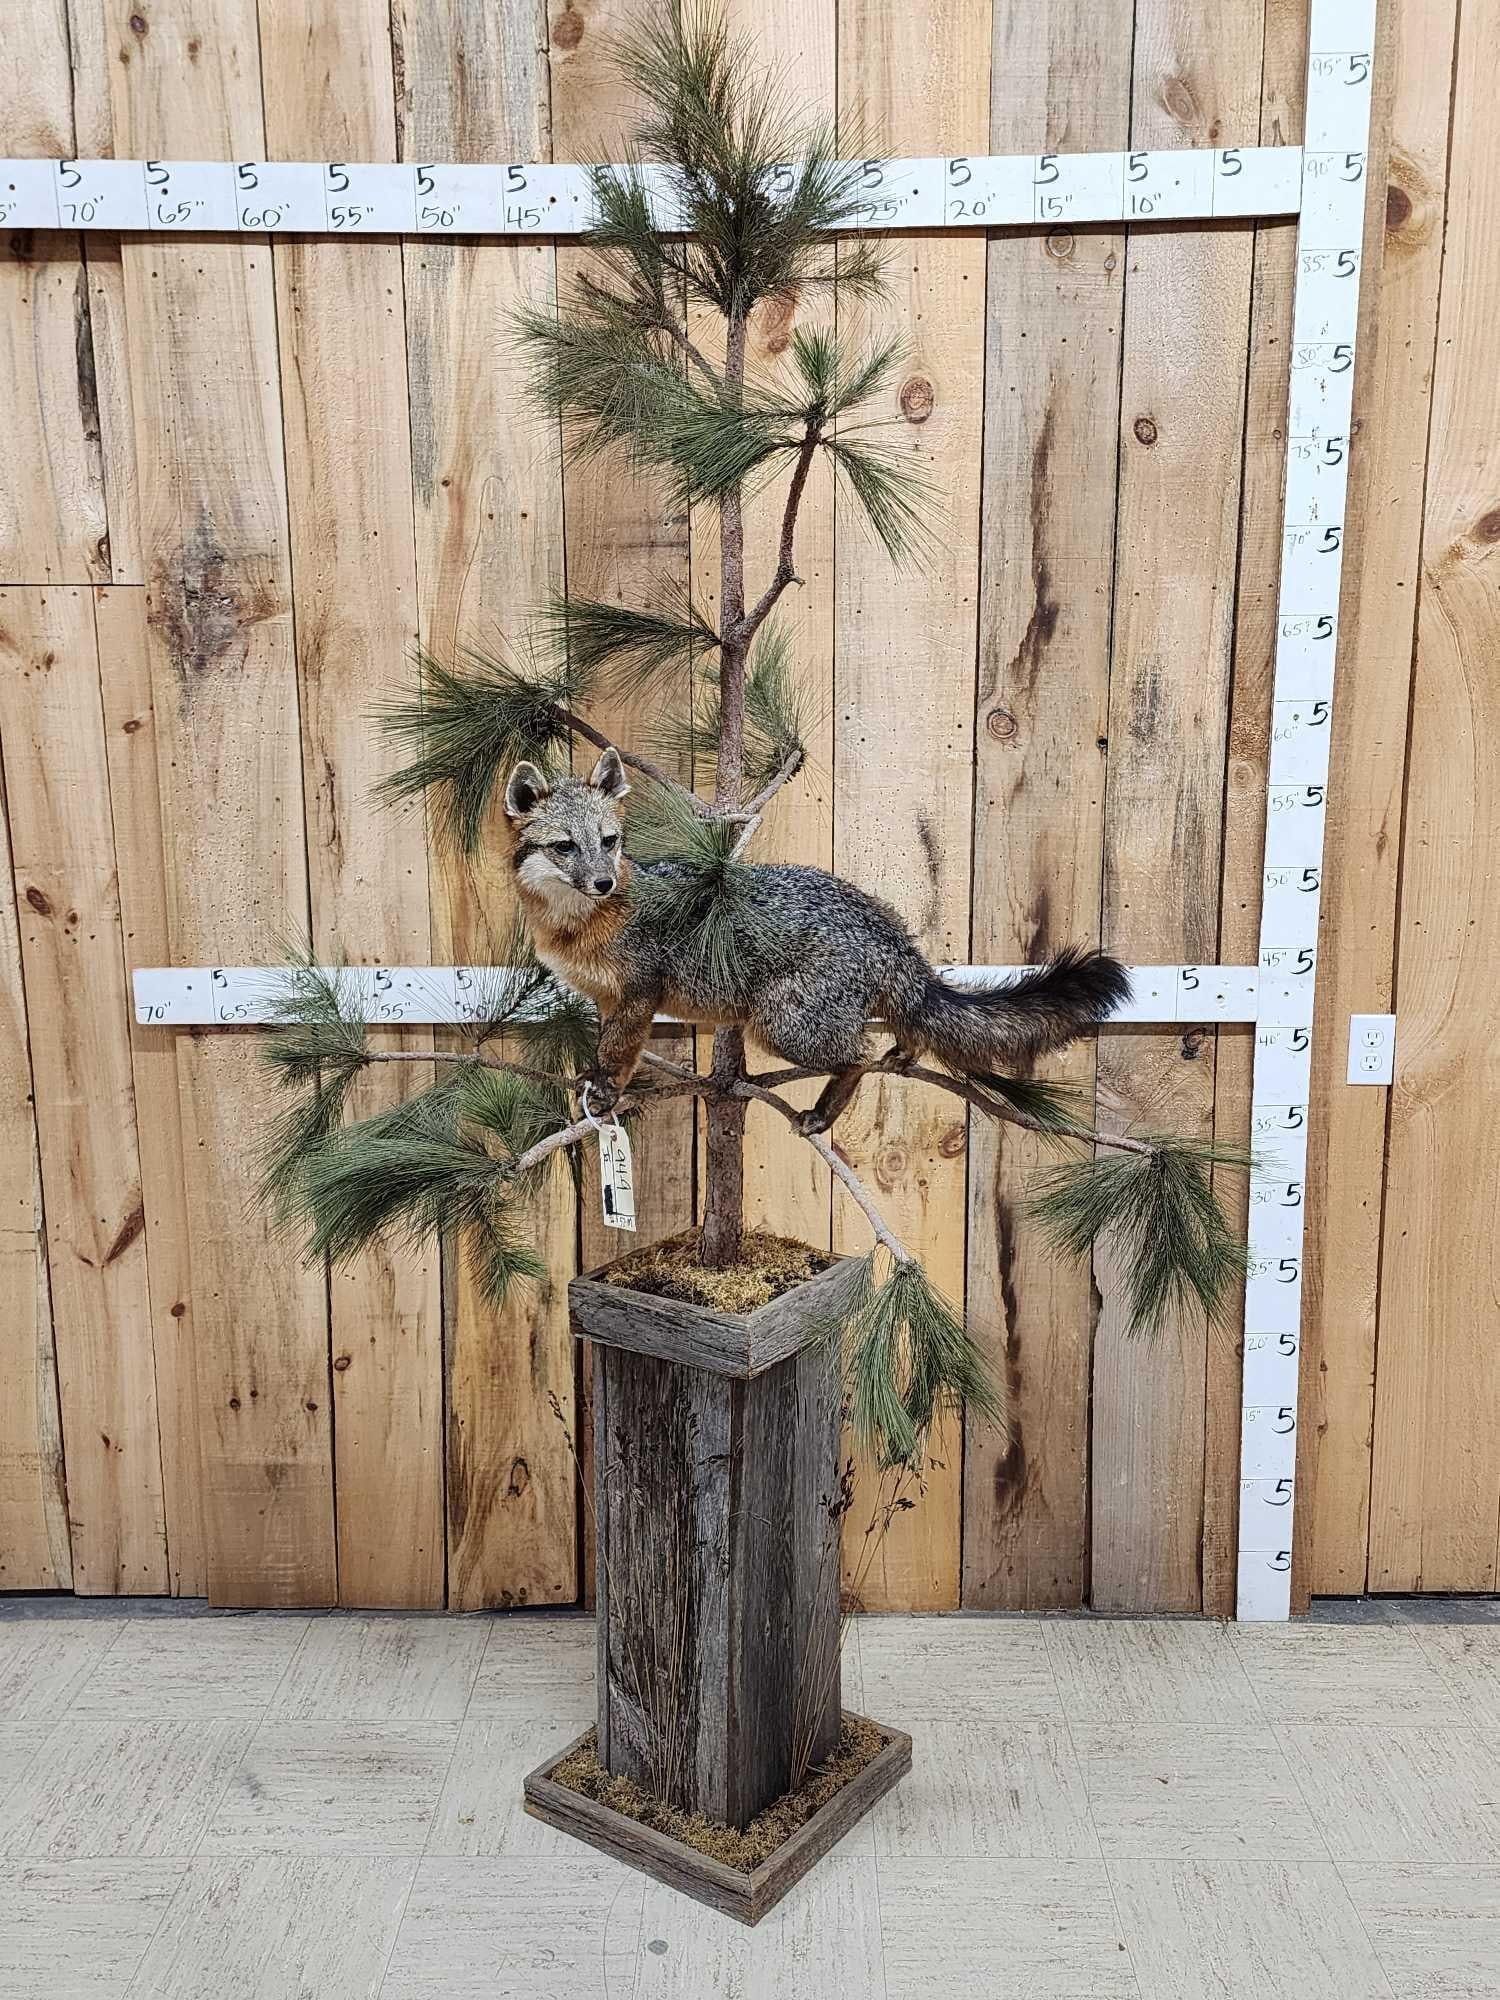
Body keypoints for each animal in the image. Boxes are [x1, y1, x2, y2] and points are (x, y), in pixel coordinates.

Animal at [503, 748, 1130, 1134]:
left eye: (609, 841)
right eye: (565, 847)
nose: (603, 882)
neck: (576, 925)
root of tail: (883, 927)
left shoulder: (637, 997)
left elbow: (619, 1054)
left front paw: (606, 1091)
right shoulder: (606, 999)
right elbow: (600, 1046)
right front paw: (589, 1079)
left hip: (780, 1023)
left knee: (856, 1055)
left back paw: (829, 1110)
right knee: (906, 1029)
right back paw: (906, 1054)